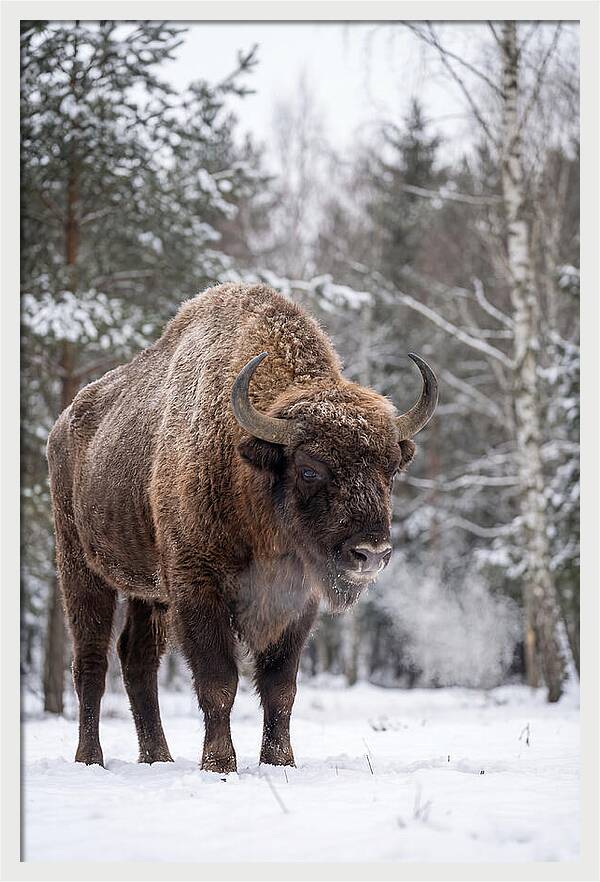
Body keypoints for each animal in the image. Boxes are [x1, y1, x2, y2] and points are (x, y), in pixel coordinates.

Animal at [47, 283, 438, 771]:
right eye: (309, 469)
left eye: (390, 470)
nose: (371, 553)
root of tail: (63, 426)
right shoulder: (197, 589)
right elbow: (219, 682)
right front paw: (219, 764)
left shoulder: (297, 602)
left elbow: (280, 688)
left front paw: (280, 762)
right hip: (81, 568)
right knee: (91, 662)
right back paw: (90, 758)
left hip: (147, 591)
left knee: (137, 660)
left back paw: (158, 758)